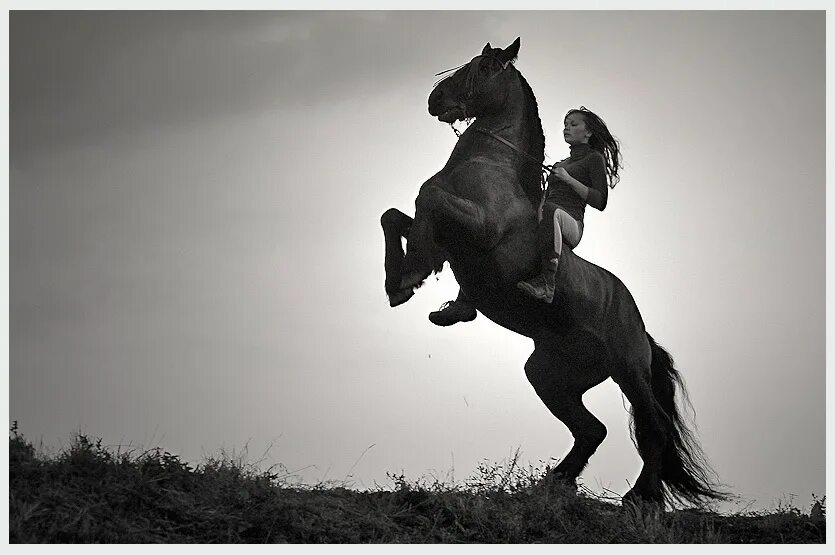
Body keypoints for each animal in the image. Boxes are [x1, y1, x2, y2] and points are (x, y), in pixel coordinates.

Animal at [378, 38, 724, 508]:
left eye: (482, 67)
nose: (436, 99)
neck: (491, 164)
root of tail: (641, 327)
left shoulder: (479, 226)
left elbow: (426, 195)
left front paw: (411, 271)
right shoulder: (448, 233)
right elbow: (395, 215)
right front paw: (400, 282)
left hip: (629, 371)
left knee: (652, 425)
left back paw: (641, 497)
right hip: (548, 374)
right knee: (592, 430)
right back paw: (553, 484)